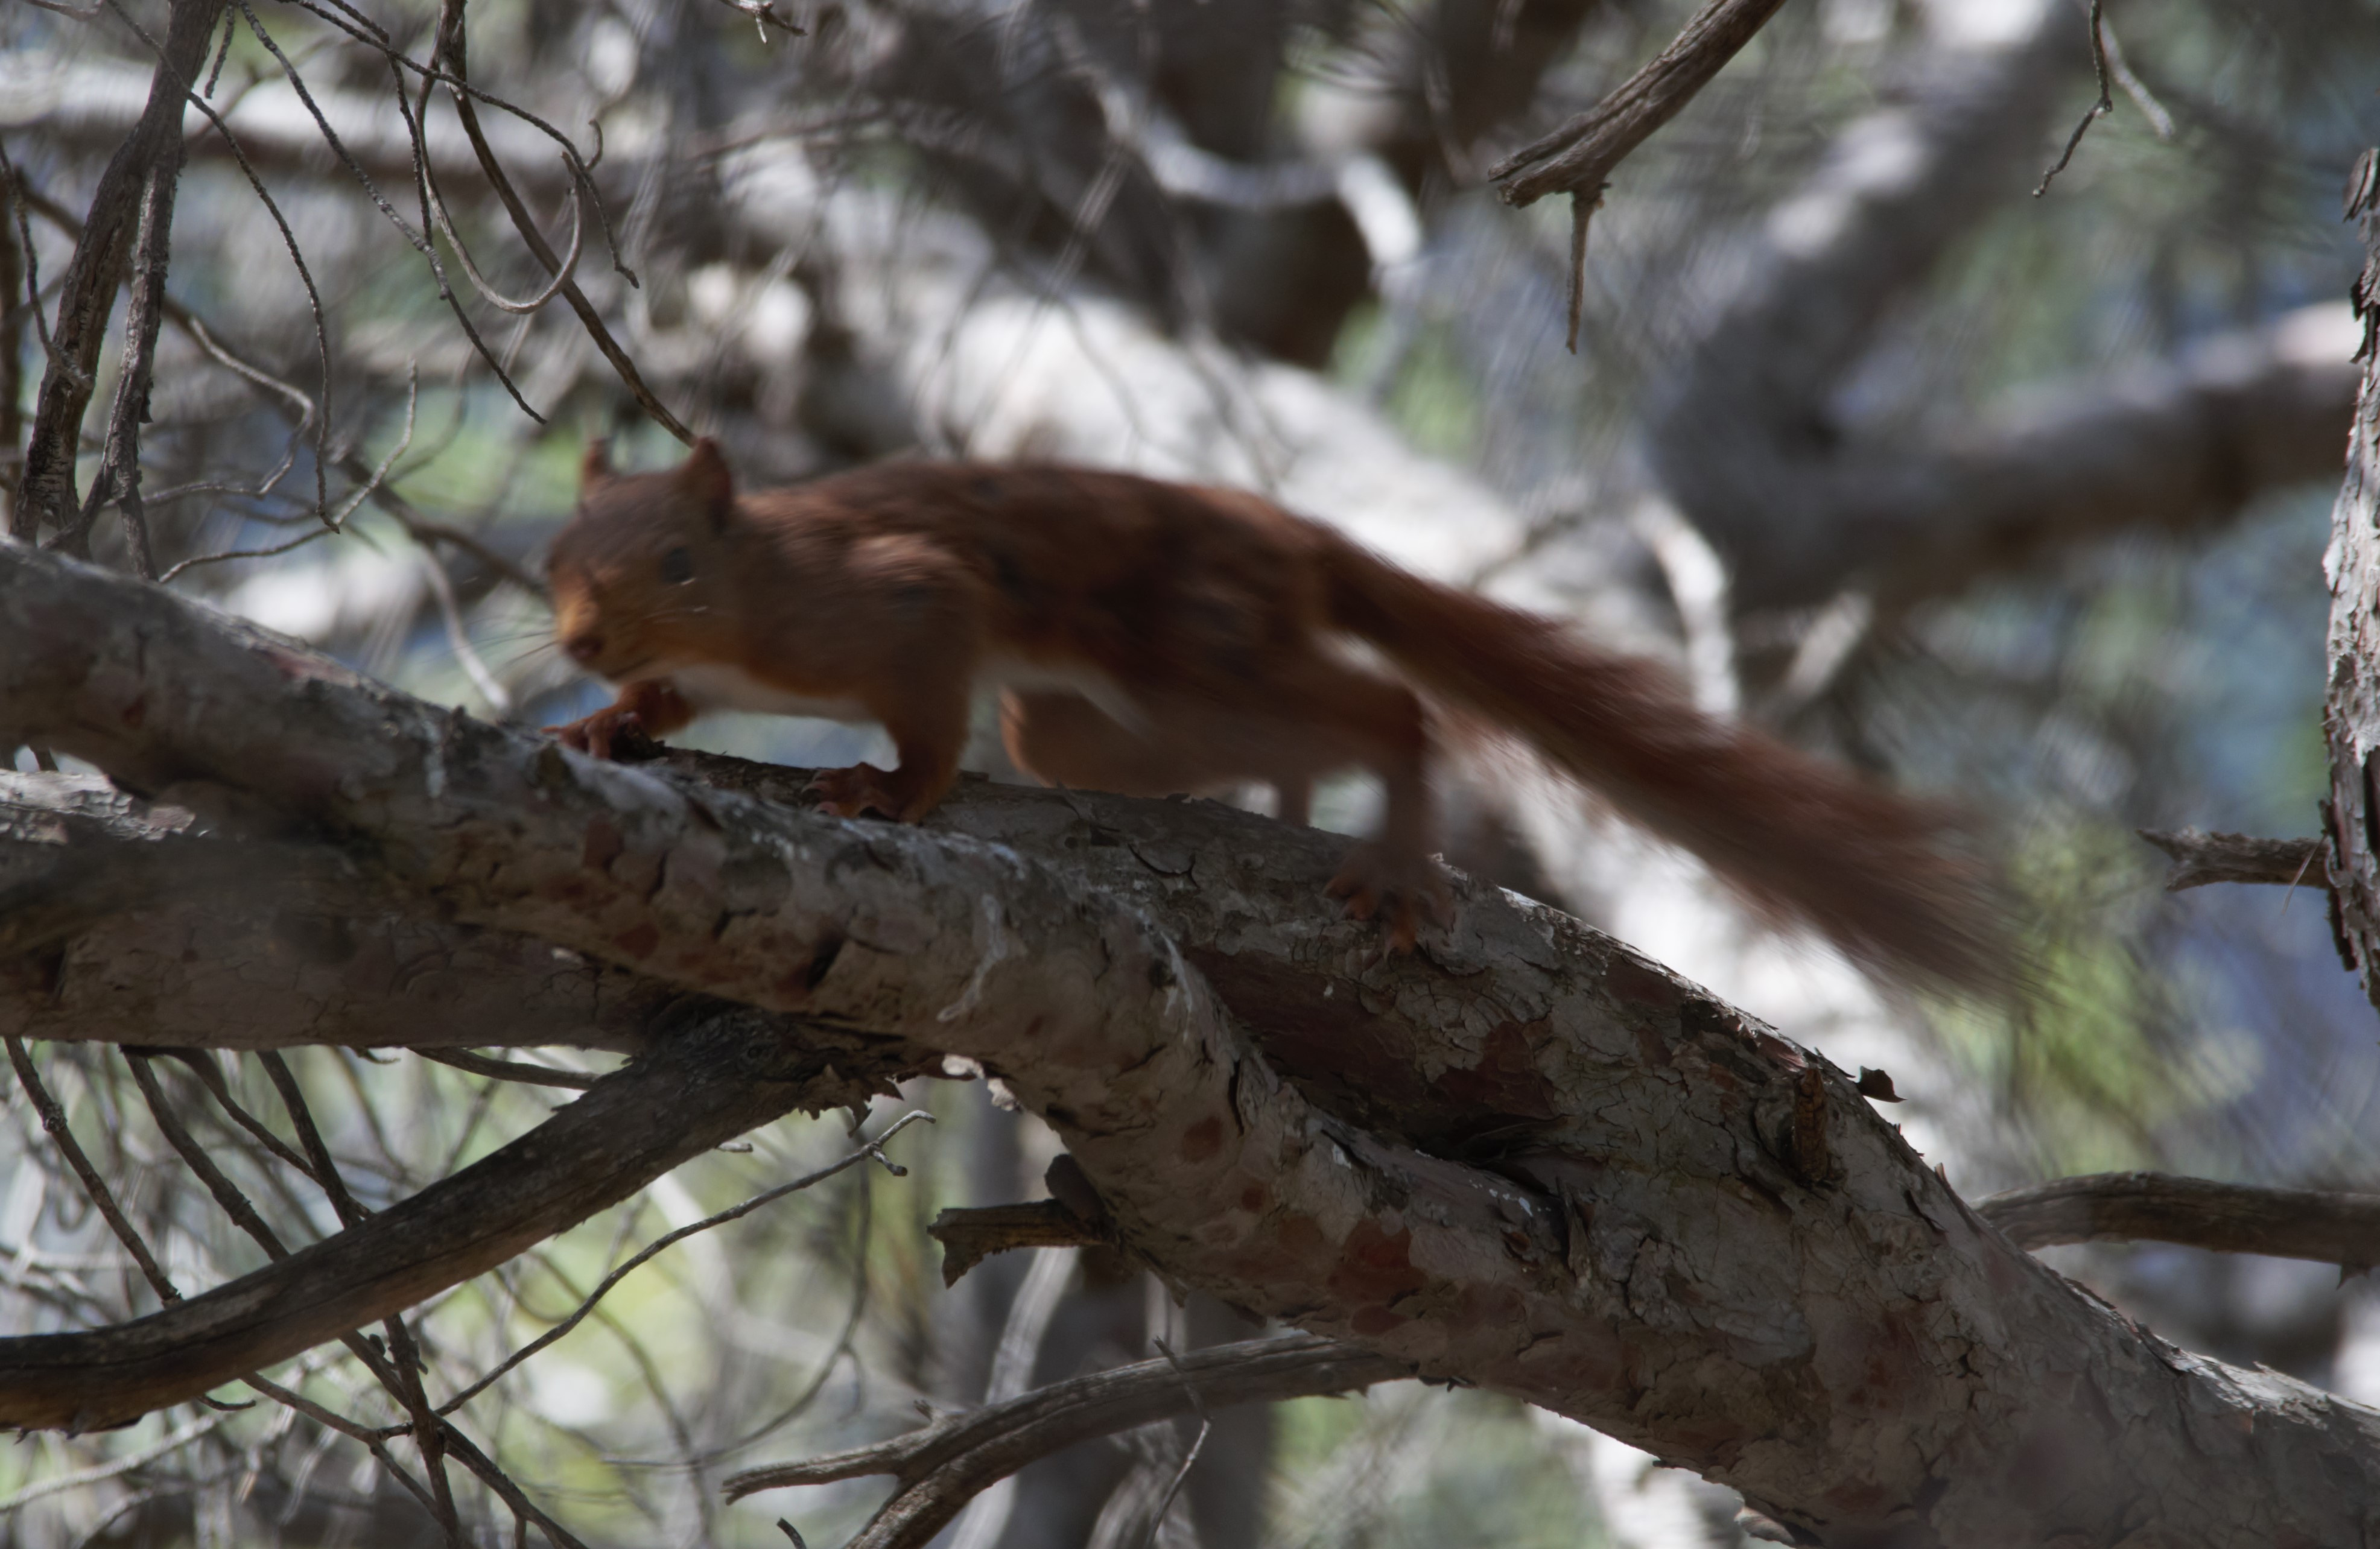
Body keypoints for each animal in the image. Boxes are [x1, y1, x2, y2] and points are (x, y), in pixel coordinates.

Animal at [545, 442, 2008, 989]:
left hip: (1200, 651)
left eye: (676, 560)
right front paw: (602, 724)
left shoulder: (901, 602)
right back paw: (1288, 813)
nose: (577, 638)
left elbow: (930, 724)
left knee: (1388, 708)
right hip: (1105, 720)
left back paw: (1394, 854)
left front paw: (885, 792)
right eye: (560, 557)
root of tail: (1291, 538)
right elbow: (662, 702)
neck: (761, 597)